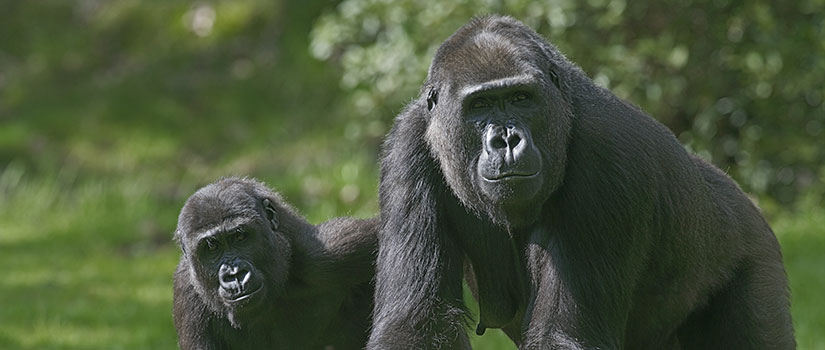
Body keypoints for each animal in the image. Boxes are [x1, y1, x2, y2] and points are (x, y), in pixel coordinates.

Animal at [366, 15, 792, 348]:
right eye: (480, 106)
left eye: (521, 98)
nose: (506, 140)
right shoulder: (408, 142)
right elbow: (418, 322)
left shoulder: (607, 153)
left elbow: (563, 334)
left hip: (757, 255)